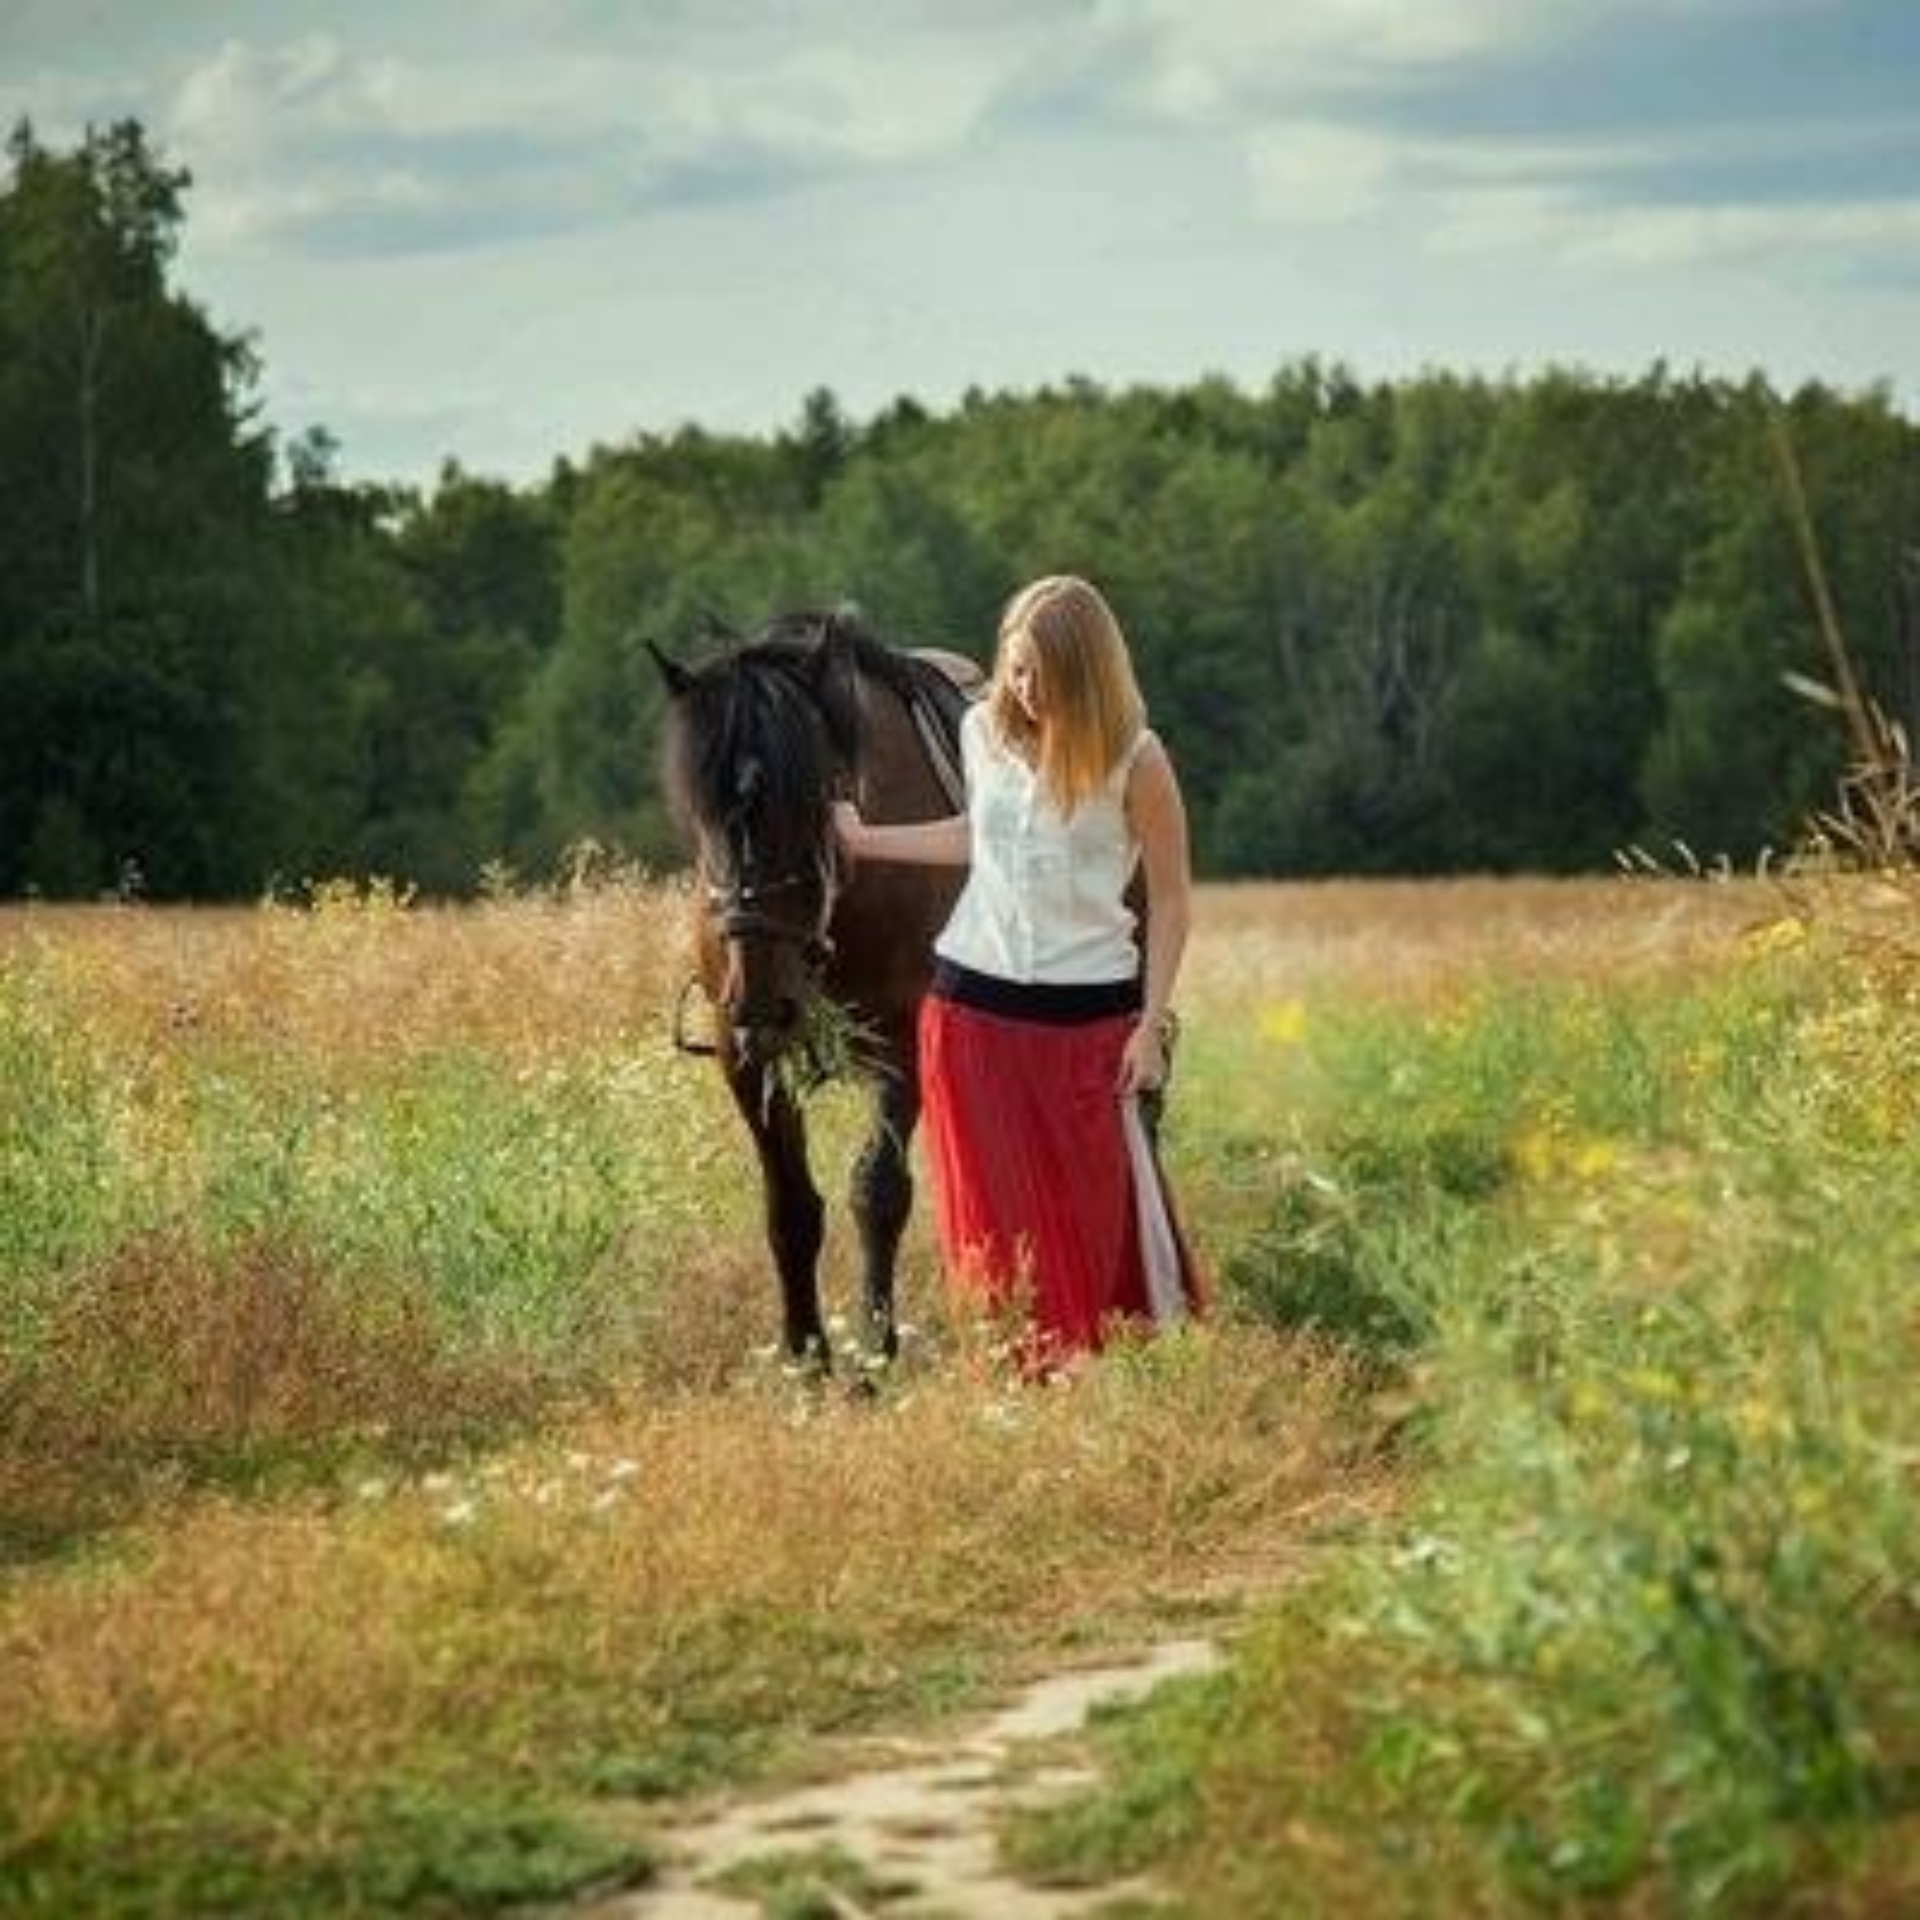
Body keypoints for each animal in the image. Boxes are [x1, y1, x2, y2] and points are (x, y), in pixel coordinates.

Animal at [652, 606, 975, 1374]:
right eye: (700, 815)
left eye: (815, 805)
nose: (763, 1001)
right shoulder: (748, 1058)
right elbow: (791, 1206)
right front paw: (806, 1356)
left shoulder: (902, 1043)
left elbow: (878, 1192)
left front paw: (874, 1354)